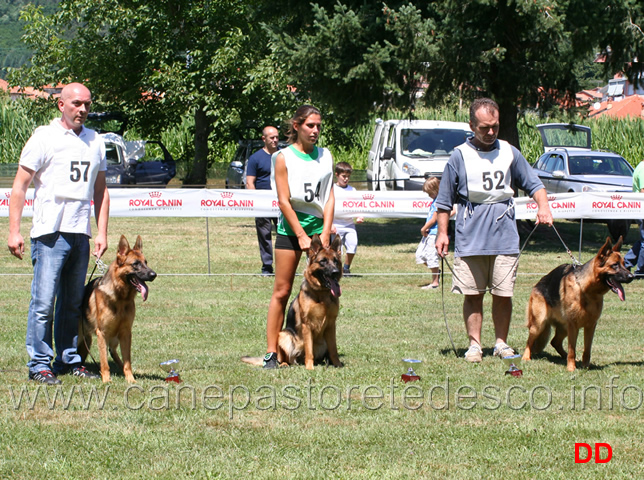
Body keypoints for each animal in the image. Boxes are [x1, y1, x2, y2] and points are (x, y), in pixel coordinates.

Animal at [78, 234, 157, 384]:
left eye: (146, 262)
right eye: (135, 264)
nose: (154, 274)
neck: (120, 298)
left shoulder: (126, 333)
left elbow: (127, 362)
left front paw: (131, 379)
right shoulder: (102, 334)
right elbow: (104, 362)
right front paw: (106, 380)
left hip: (109, 340)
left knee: (114, 353)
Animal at [242, 234, 342, 370]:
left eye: (335, 261)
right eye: (323, 261)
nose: (335, 272)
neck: (322, 294)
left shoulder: (331, 325)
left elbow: (334, 350)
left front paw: (338, 364)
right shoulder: (307, 325)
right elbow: (309, 351)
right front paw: (309, 368)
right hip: (284, 336)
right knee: (286, 358)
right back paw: (283, 363)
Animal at [524, 236, 632, 372]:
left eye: (624, 264)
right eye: (615, 265)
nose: (632, 276)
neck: (587, 290)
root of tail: (538, 284)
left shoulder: (590, 326)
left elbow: (587, 349)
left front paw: (585, 366)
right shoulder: (573, 325)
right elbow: (572, 350)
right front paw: (571, 368)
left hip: (564, 328)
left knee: (555, 342)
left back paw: (564, 357)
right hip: (539, 324)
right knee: (529, 341)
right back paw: (526, 357)